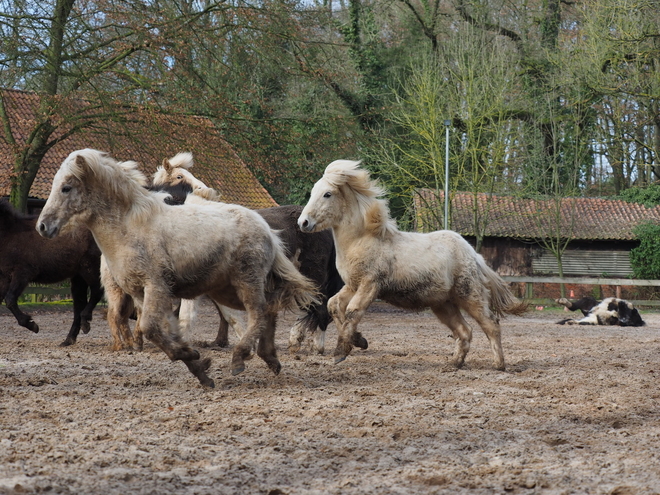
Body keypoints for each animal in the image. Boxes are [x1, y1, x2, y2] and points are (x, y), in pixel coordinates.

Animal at [0, 200, 104, 346]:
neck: (9, 234)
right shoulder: (4, 277)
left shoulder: (22, 274)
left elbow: (9, 300)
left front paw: (32, 325)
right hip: (78, 277)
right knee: (79, 304)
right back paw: (69, 339)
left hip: (89, 268)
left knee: (97, 292)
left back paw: (85, 322)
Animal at [36, 149, 320, 390]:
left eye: (66, 187)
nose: (42, 226)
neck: (130, 227)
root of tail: (267, 230)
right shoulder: (141, 294)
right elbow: (163, 331)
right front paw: (200, 367)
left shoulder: (156, 286)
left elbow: (151, 328)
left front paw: (196, 359)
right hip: (226, 291)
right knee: (269, 310)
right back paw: (270, 358)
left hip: (246, 282)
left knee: (259, 313)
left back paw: (240, 358)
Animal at [300, 161, 524, 370]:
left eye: (327, 194)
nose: (303, 222)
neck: (361, 240)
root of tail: (474, 255)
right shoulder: (353, 285)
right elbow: (334, 305)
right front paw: (360, 341)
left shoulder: (369, 285)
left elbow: (352, 312)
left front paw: (341, 353)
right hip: (443, 305)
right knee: (465, 331)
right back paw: (454, 363)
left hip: (470, 296)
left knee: (491, 325)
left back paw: (498, 364)